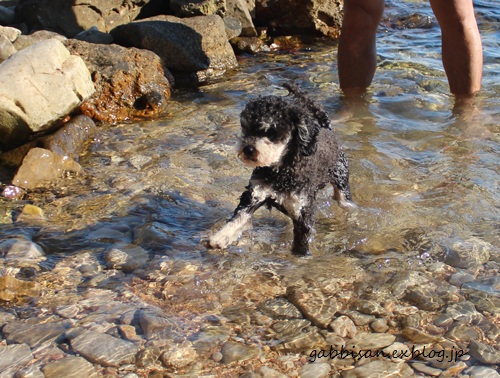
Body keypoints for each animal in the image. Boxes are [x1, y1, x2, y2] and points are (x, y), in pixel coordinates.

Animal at [207, 82, 352, 254]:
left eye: (272, 132)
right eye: (246, 128)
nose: (248, 149)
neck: (280, 173)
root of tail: (327, 129)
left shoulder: (302, 210)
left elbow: (301, 244)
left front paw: (301, 257)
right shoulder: (254, 195)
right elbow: (239, 217)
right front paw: (221, 237)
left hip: (341, 179)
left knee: (343, 199)